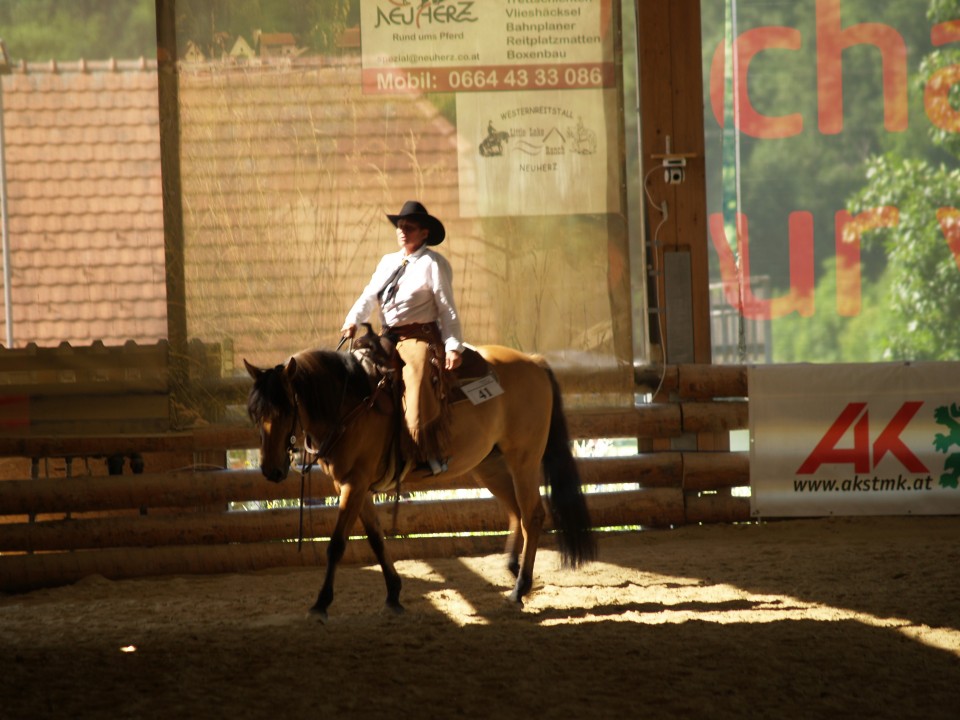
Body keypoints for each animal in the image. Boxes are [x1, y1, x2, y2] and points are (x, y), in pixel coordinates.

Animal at [248, 330, 592, 620]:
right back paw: (513, 569)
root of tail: (534, 362)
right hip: (489, 465)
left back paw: (519, 588)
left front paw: (320, 604)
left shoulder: (354, 484)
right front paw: (393, 595)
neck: (351, 403)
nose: (270, 469)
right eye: (254, 413)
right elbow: (376, 540)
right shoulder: (353, 485)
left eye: (284, 410)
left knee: (531, 515)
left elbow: (336, 544)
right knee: (515, 512)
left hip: (524, 459)